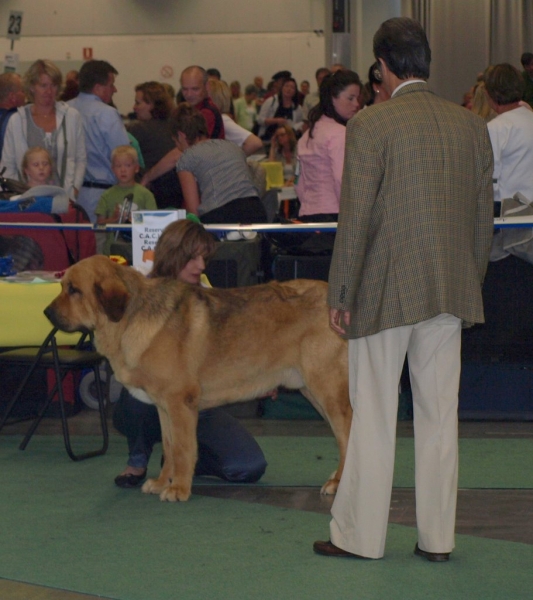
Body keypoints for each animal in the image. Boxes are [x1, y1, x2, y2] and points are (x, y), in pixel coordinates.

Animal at [45, 254, 352, 502]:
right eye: (62, 286)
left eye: (74, 290)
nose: (46, 312)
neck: (131, 318)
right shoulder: (163, 407)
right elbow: (169, 448)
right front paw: (161, 483)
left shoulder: (180, 403)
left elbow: (182, 449)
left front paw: (179, 489)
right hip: (313, 392)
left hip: (328, 390)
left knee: (347, 436)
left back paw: (339, 484)